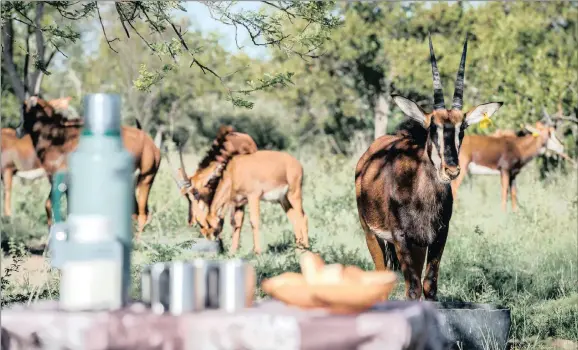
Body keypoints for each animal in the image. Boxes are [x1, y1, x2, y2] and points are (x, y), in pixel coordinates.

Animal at [18, 95, 161, 241]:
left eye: (24, 107)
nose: (19, 130)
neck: (56, 138)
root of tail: (150, 143)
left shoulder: (59, 179)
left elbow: (49, 204)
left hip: (145, 179)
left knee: (142, 214)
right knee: (138, 213)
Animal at [354, 34, 502, 300]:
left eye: (462, 128)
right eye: (433, 127)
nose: (451, 170)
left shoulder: (437, 237)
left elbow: (429, 285)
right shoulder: (401, 237)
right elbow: (413, 289)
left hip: (417, 246)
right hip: (371, 233)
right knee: (380, 275)